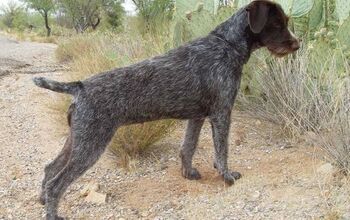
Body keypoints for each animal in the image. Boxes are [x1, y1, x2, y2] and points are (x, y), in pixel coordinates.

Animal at [33, 1, 298, 218]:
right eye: (278, 23)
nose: (297, 44)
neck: (227, 45)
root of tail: (79, 86)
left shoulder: (197, 117)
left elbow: (188, 148)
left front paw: (188, 173)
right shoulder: (222, 113)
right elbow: (222, 151)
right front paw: (227, 176)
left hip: (77, 140)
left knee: (49, 169)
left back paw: (43, 200)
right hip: (91, 144)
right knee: (57, 183)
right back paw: (53, 213)